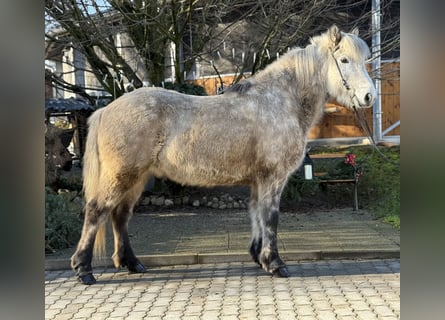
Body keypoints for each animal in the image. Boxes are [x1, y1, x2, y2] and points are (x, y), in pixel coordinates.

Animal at [72, 25, 374, 284]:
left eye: (365, 60)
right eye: (344, 60)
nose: (369, 97)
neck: (280, 101)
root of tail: (106, 109)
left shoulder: (258, 180)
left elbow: (256, 213)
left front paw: (259, 258)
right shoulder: (273, 177)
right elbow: (271, 217)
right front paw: (275, 264)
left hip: (136, 179)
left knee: (120, 216)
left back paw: (132, 263)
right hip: (122, 176)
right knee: (97, 210)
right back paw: (84, 269)